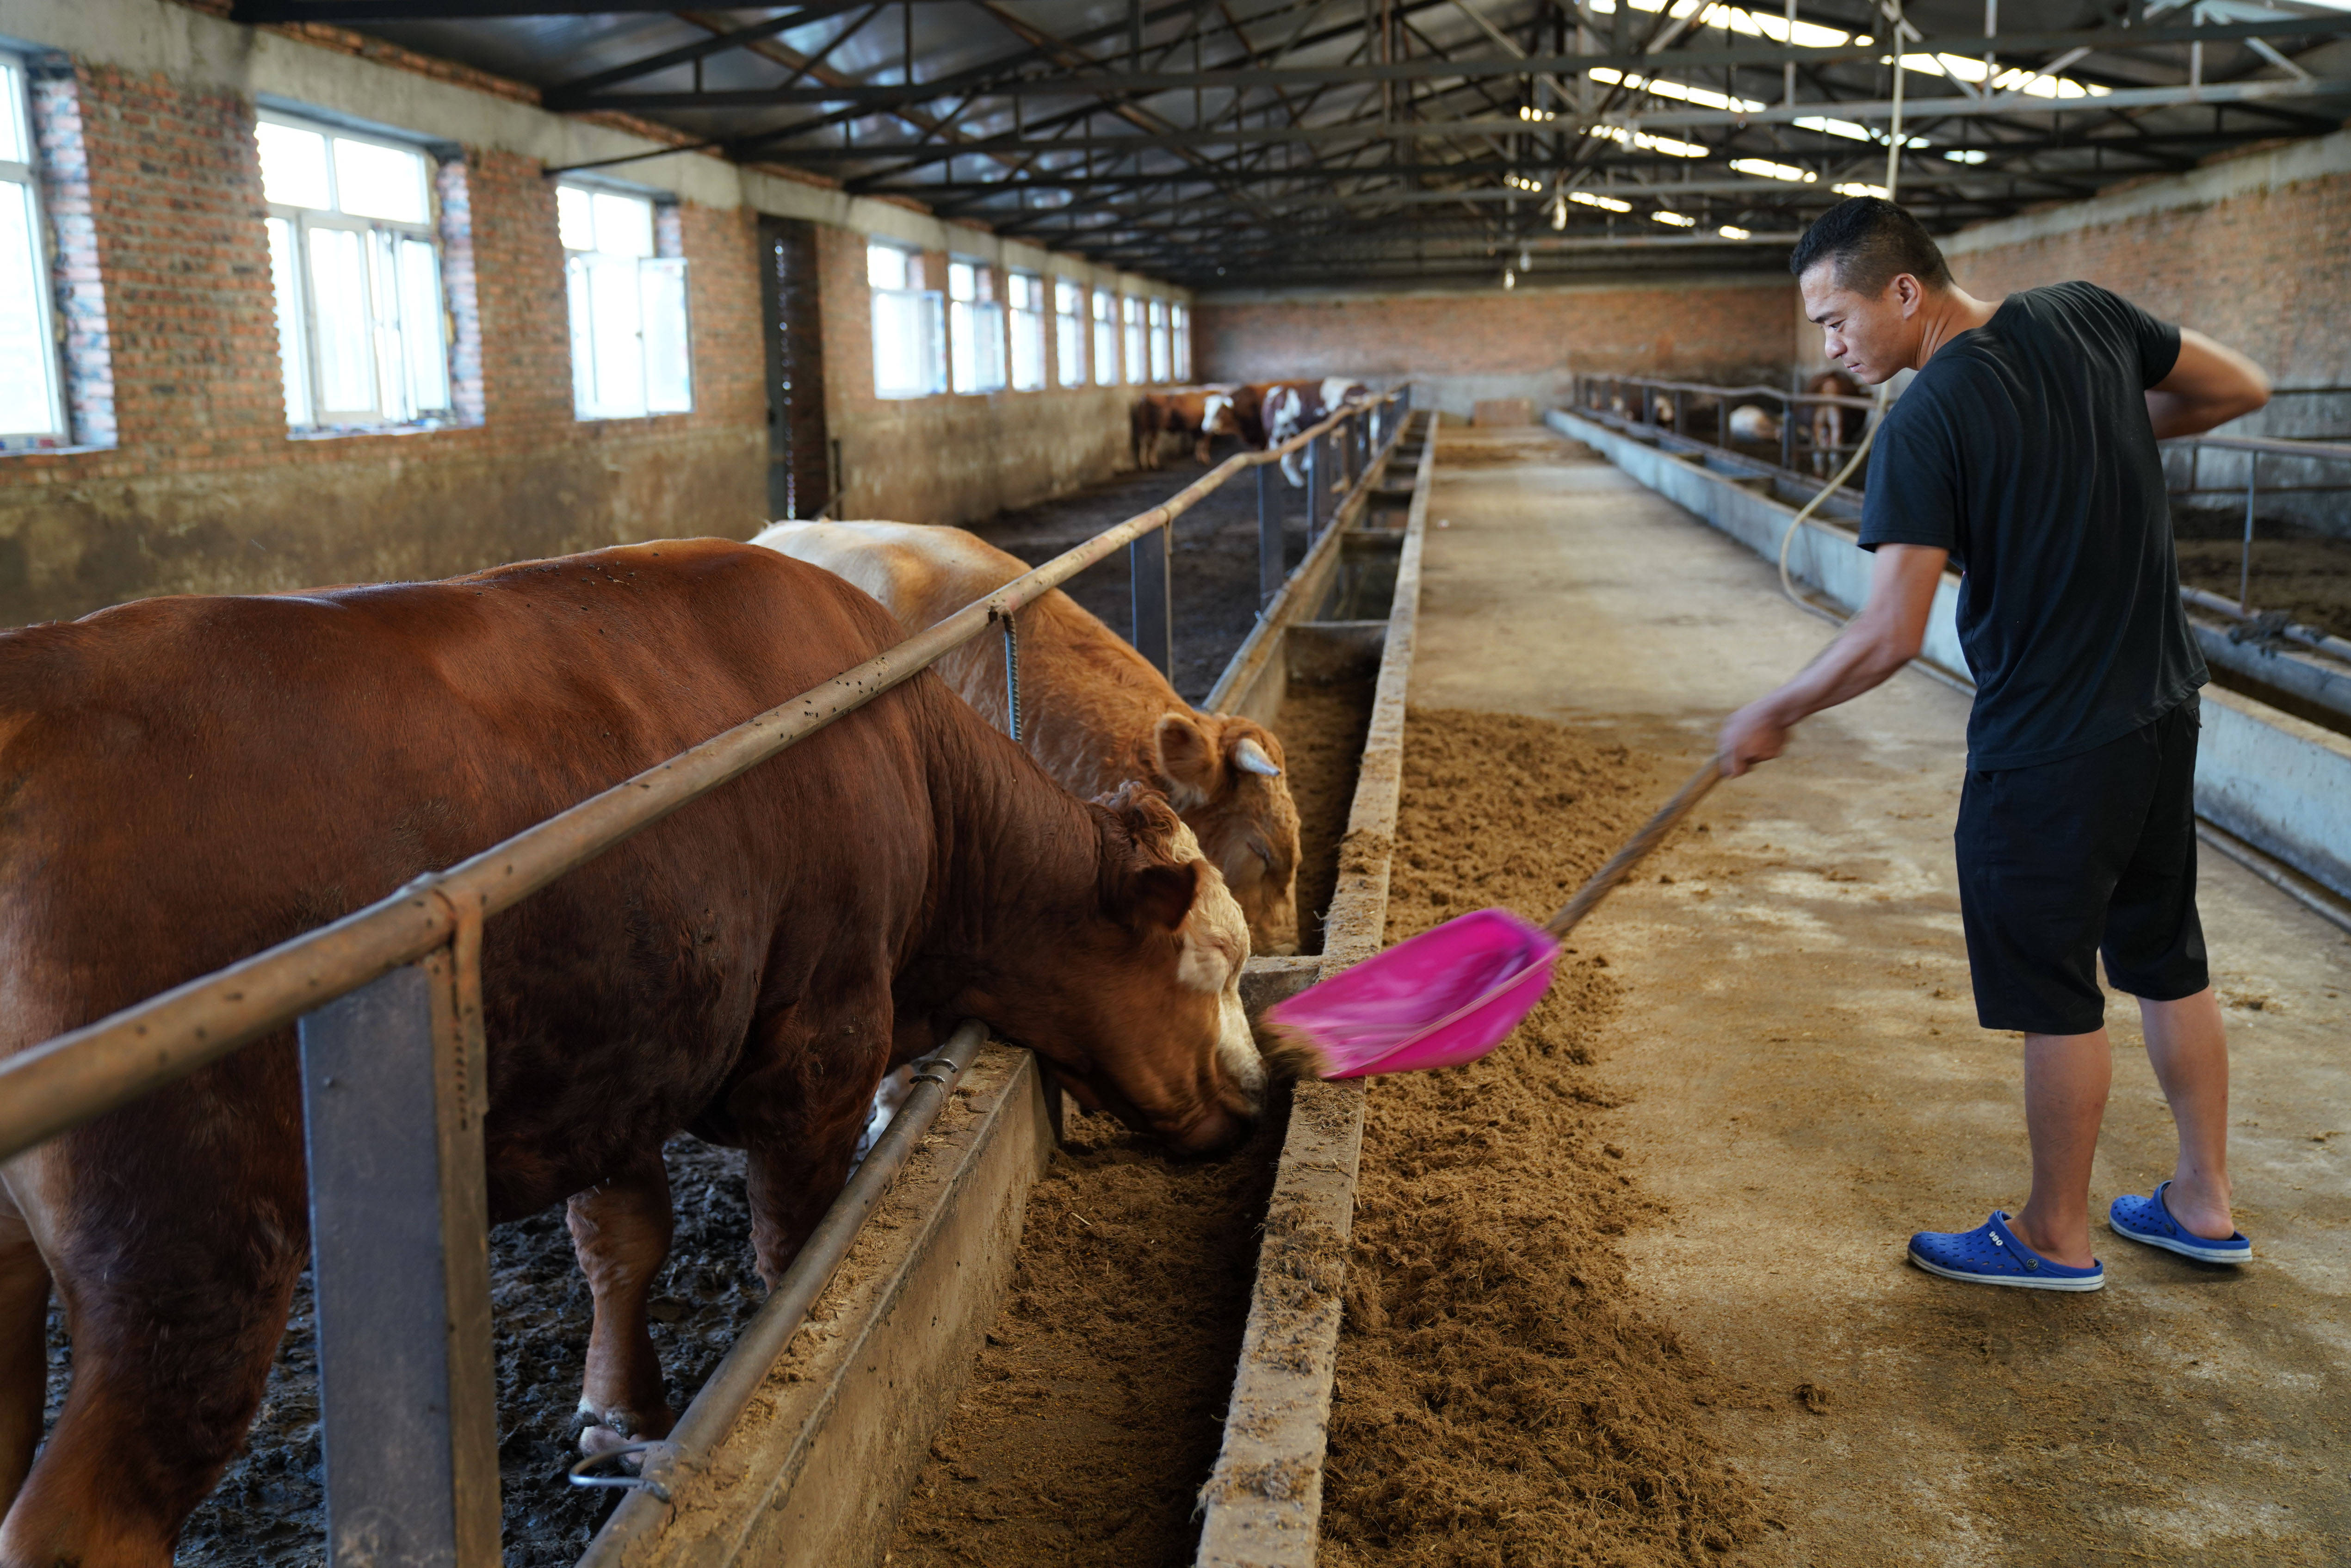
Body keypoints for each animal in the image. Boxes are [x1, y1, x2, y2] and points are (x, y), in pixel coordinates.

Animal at [0, 543, 1269, 1568]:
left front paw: (621, 1416)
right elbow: (795, 1245)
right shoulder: (818, 1044)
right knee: (82, 1517)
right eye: (1208, 960)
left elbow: (622, 1241)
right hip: (186, 1249)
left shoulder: (617, 1056)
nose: (1257, 1095)